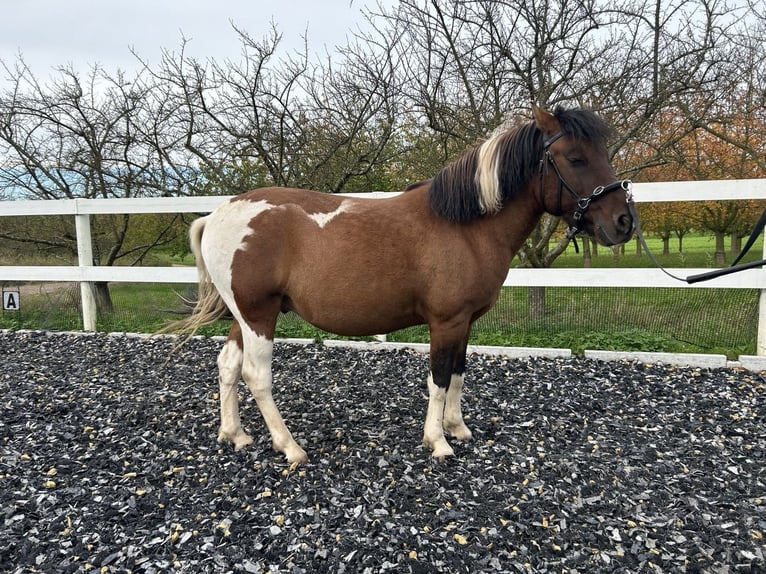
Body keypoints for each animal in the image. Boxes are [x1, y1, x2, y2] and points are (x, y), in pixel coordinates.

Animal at [174, 103, 636, 466]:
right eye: (574, 158)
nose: (623, 222)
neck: (465, 226)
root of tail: (216, 215)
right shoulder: (446, 322)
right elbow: (439, 378)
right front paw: (438, 442)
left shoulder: (465, 322)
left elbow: (458, 374)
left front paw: (457, 428)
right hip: (259, 315)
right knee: (256, 375)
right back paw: (290, 447)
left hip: (245, 316)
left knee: (228, 366)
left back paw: (235, 435)